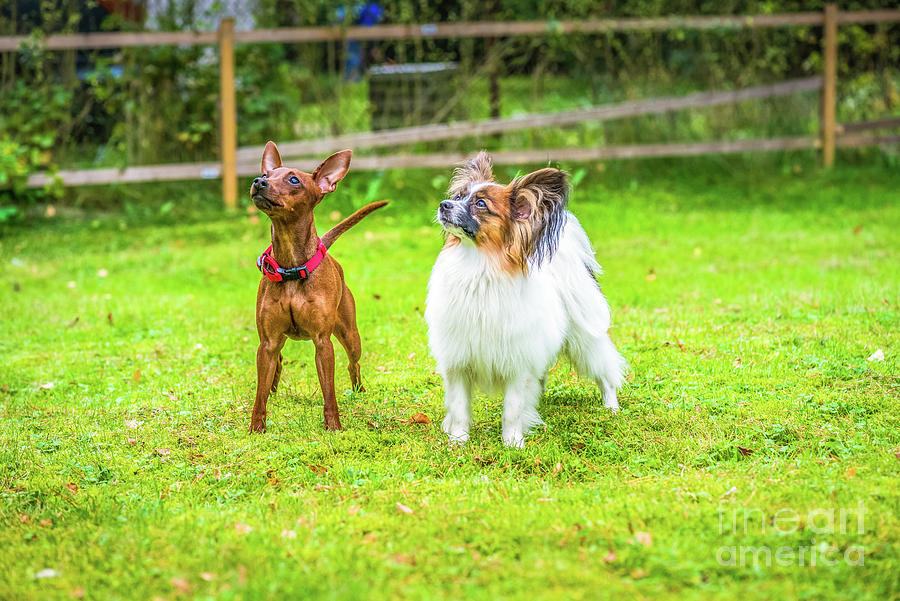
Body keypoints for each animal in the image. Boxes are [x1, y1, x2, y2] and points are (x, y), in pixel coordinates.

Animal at [250, 141, 386, 432]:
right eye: (266, 175)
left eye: (293, 180)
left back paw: (358, 390)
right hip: (278, 342)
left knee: (353, 364)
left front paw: (333, 426)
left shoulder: (323, 343)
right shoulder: (266, 343)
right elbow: (259, 393)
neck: (291, 267)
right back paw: (274, 390)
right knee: (278, 362)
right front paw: (256, 428)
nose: (258, 181)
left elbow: (329, 391)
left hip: (350, 335)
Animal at [424, 152, 624, 448]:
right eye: (459, 196)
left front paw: (513, 443)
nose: (443, 204)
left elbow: (512, 409)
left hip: (584, 340)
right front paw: (458, 442)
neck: (477, 265)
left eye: (480, 204)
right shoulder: (459, 361)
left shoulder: (517, 363)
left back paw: (611, 406)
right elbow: (459, 408)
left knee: (606, 371)